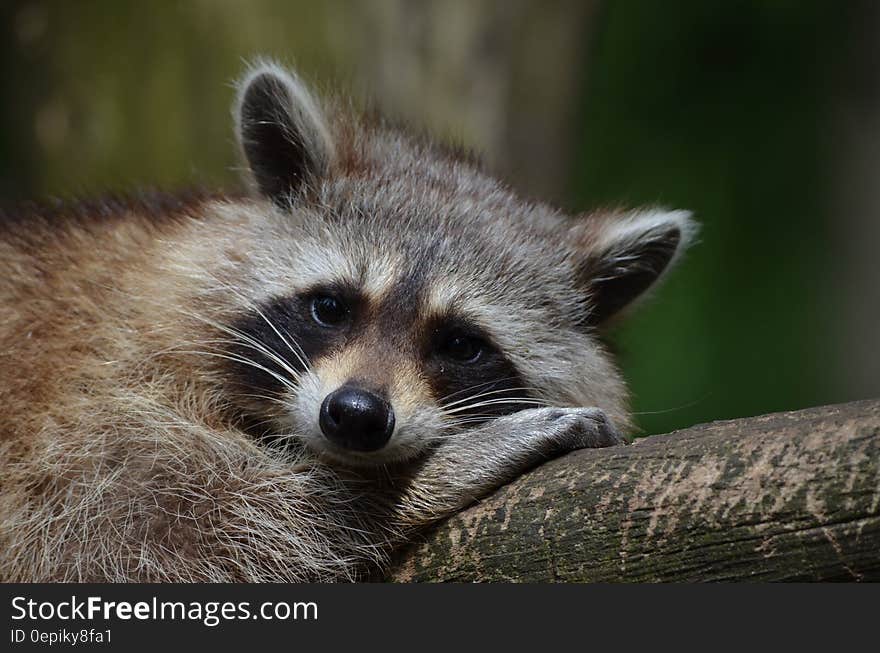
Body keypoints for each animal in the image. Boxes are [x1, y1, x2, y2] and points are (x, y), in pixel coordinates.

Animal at [0, 62, 696, 580]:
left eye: (461, 344)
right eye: (330, 307)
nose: (356, 415)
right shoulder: (90, 404)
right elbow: (159, 532)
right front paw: (421, 480)